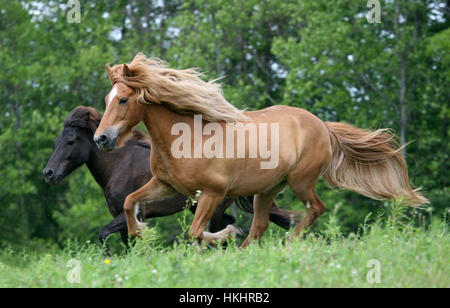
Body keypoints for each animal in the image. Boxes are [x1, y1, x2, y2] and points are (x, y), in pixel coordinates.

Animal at [44, 107, 300, 251]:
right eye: (57, 141)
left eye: (70, 141)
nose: (48, 173)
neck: (121, 165)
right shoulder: (123, 215)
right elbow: (126, 243)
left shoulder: (133, 214)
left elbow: (105, 234)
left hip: (214, 205)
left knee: (222, 232)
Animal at [94, 53, 426, 248]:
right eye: (108, 98)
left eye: (123, 99)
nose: (101, 138)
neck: (186, 139)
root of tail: (322, 126)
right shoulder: (165, 185)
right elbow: (130, 202)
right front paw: (141, 233)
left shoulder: (211, 194)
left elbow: (196, 232)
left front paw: (225, 235)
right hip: (267, 190)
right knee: (261, 225)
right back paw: (246, 252)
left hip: (301, 182)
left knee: (315, 209)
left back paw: (288, 243)